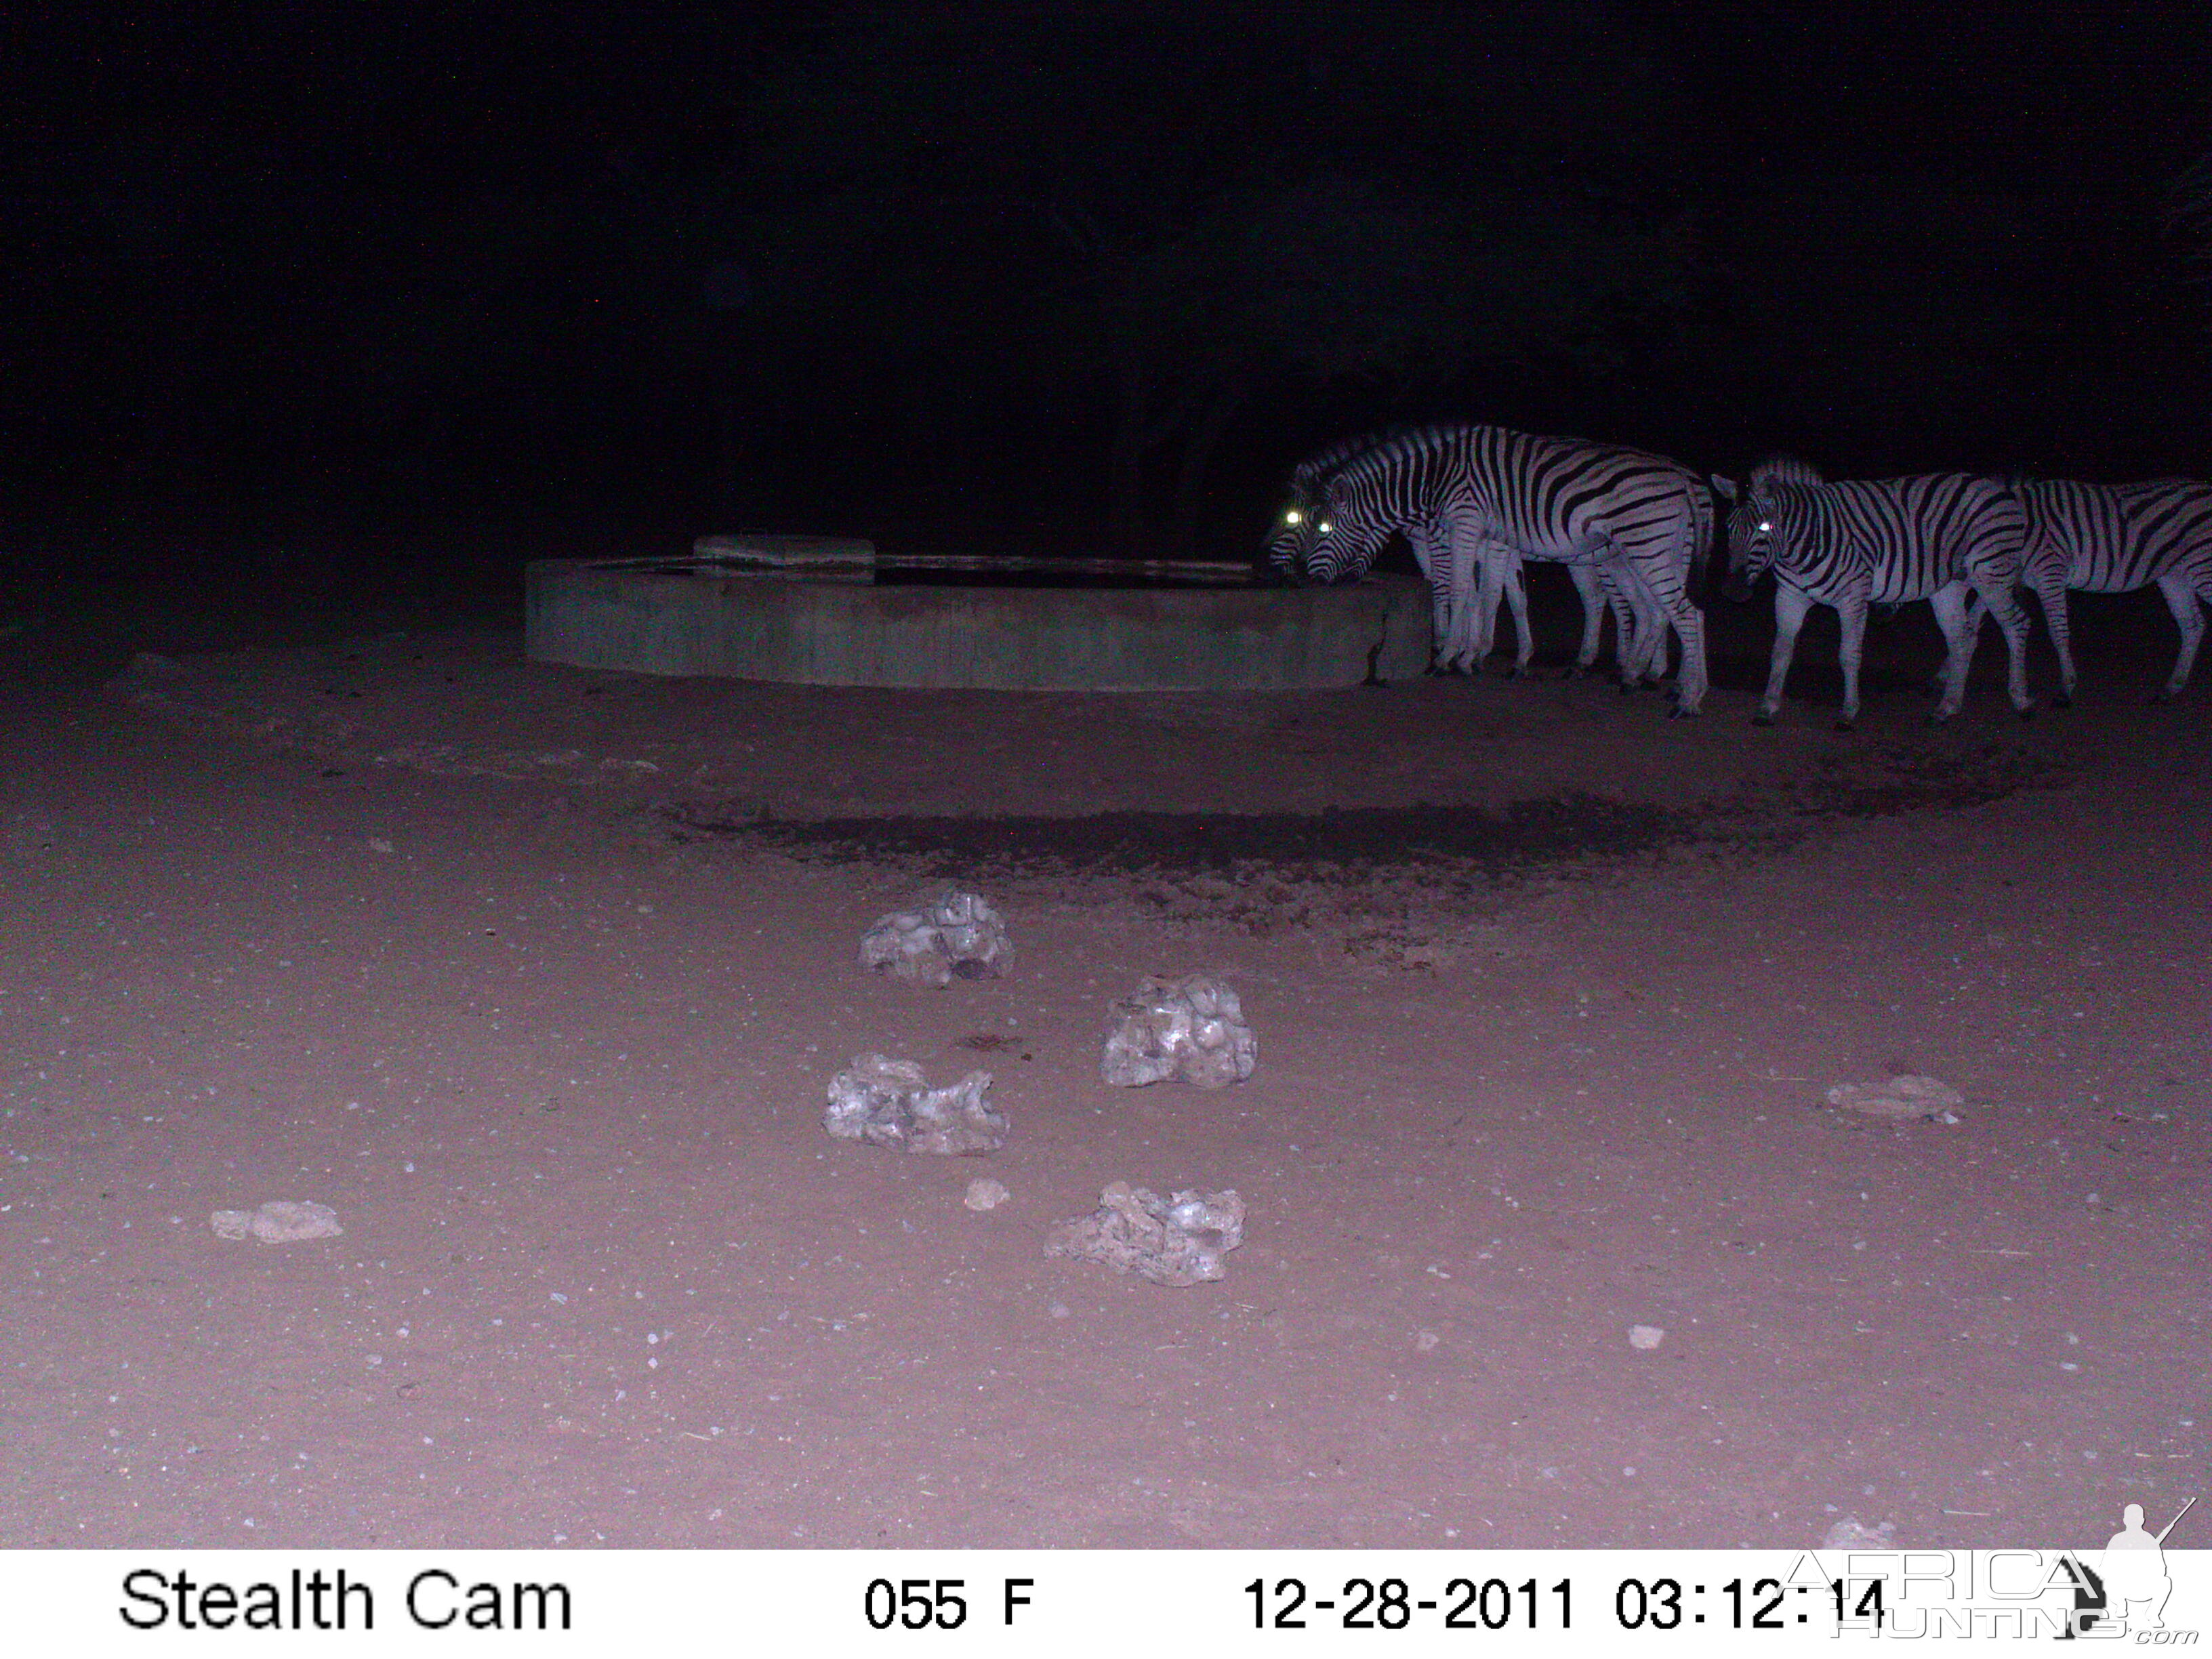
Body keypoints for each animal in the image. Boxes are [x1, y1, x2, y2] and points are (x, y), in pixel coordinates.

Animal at [1274, 422, 1716, 716]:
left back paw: (1686, 697)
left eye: (1318, 528)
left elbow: (1457, 591)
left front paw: (1448, 656)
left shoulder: (1463, 526)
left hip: (1646, 547)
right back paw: (1643, 676)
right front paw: (1473, 654)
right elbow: (1486, 594)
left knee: (1683, 612)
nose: (1299, 580)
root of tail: (1683, 478)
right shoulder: (1489, 537)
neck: (1433, 477)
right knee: (1656, 611)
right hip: (1642, 551)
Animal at [1707, 462, 2034, 734]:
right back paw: (1946, 708)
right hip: (1949, 586)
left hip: (1992, 573)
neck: (1801, 545)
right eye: (1728, 527)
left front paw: (1848, 713)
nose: (1732, 590)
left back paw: (2021, 701)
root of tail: (1997, 487)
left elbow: (1849, 655)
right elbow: (1780, 652)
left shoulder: (1853, 598)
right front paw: (1767, 707)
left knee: (2016, 625)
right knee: (1962, 639)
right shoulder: (1789, 597)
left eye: (1765, 528)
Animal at [1973, 478, 2212, 703]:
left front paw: (2066, 688)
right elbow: (1977, 622)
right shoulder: (1995, 579)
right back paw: (2172, 687)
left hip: (2202, 564)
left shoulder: (2050, 572)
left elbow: (2057, 630)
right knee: (2193, 624)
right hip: (2176, 575)